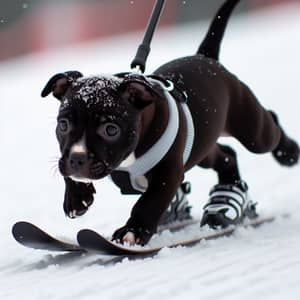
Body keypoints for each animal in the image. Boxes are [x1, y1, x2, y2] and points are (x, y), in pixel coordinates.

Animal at [41, 0, 298, 245]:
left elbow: (148, 202)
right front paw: (77, 196)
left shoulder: (168, 174)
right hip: (202, 146)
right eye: (63, 125)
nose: (78, 159)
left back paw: (288, 153)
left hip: (251, 129)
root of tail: (206, 57)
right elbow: (68, 167)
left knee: (269, 126)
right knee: (226, 154)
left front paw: (133, 232)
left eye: (110, 129)